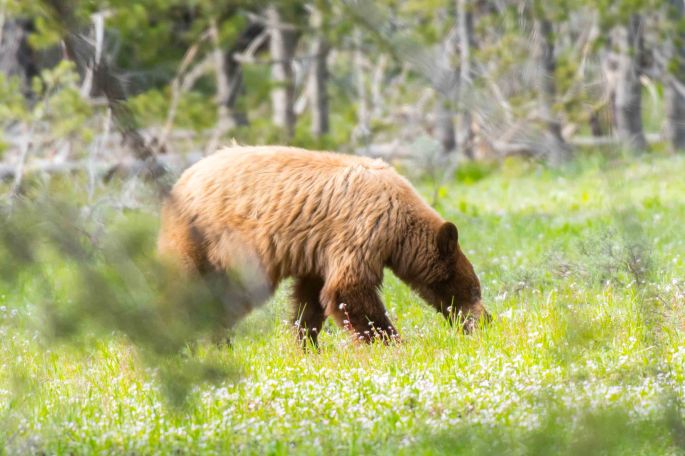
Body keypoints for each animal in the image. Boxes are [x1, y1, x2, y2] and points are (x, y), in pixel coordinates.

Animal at [157, 145, 489, 346]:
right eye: (474, 290)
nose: (486, 321)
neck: (400, 224)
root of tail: (180, 180)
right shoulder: (363, 230)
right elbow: (348, 290)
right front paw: (392, 341)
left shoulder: (319, 253)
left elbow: (312, 298)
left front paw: (306, 343)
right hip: (202, 238)